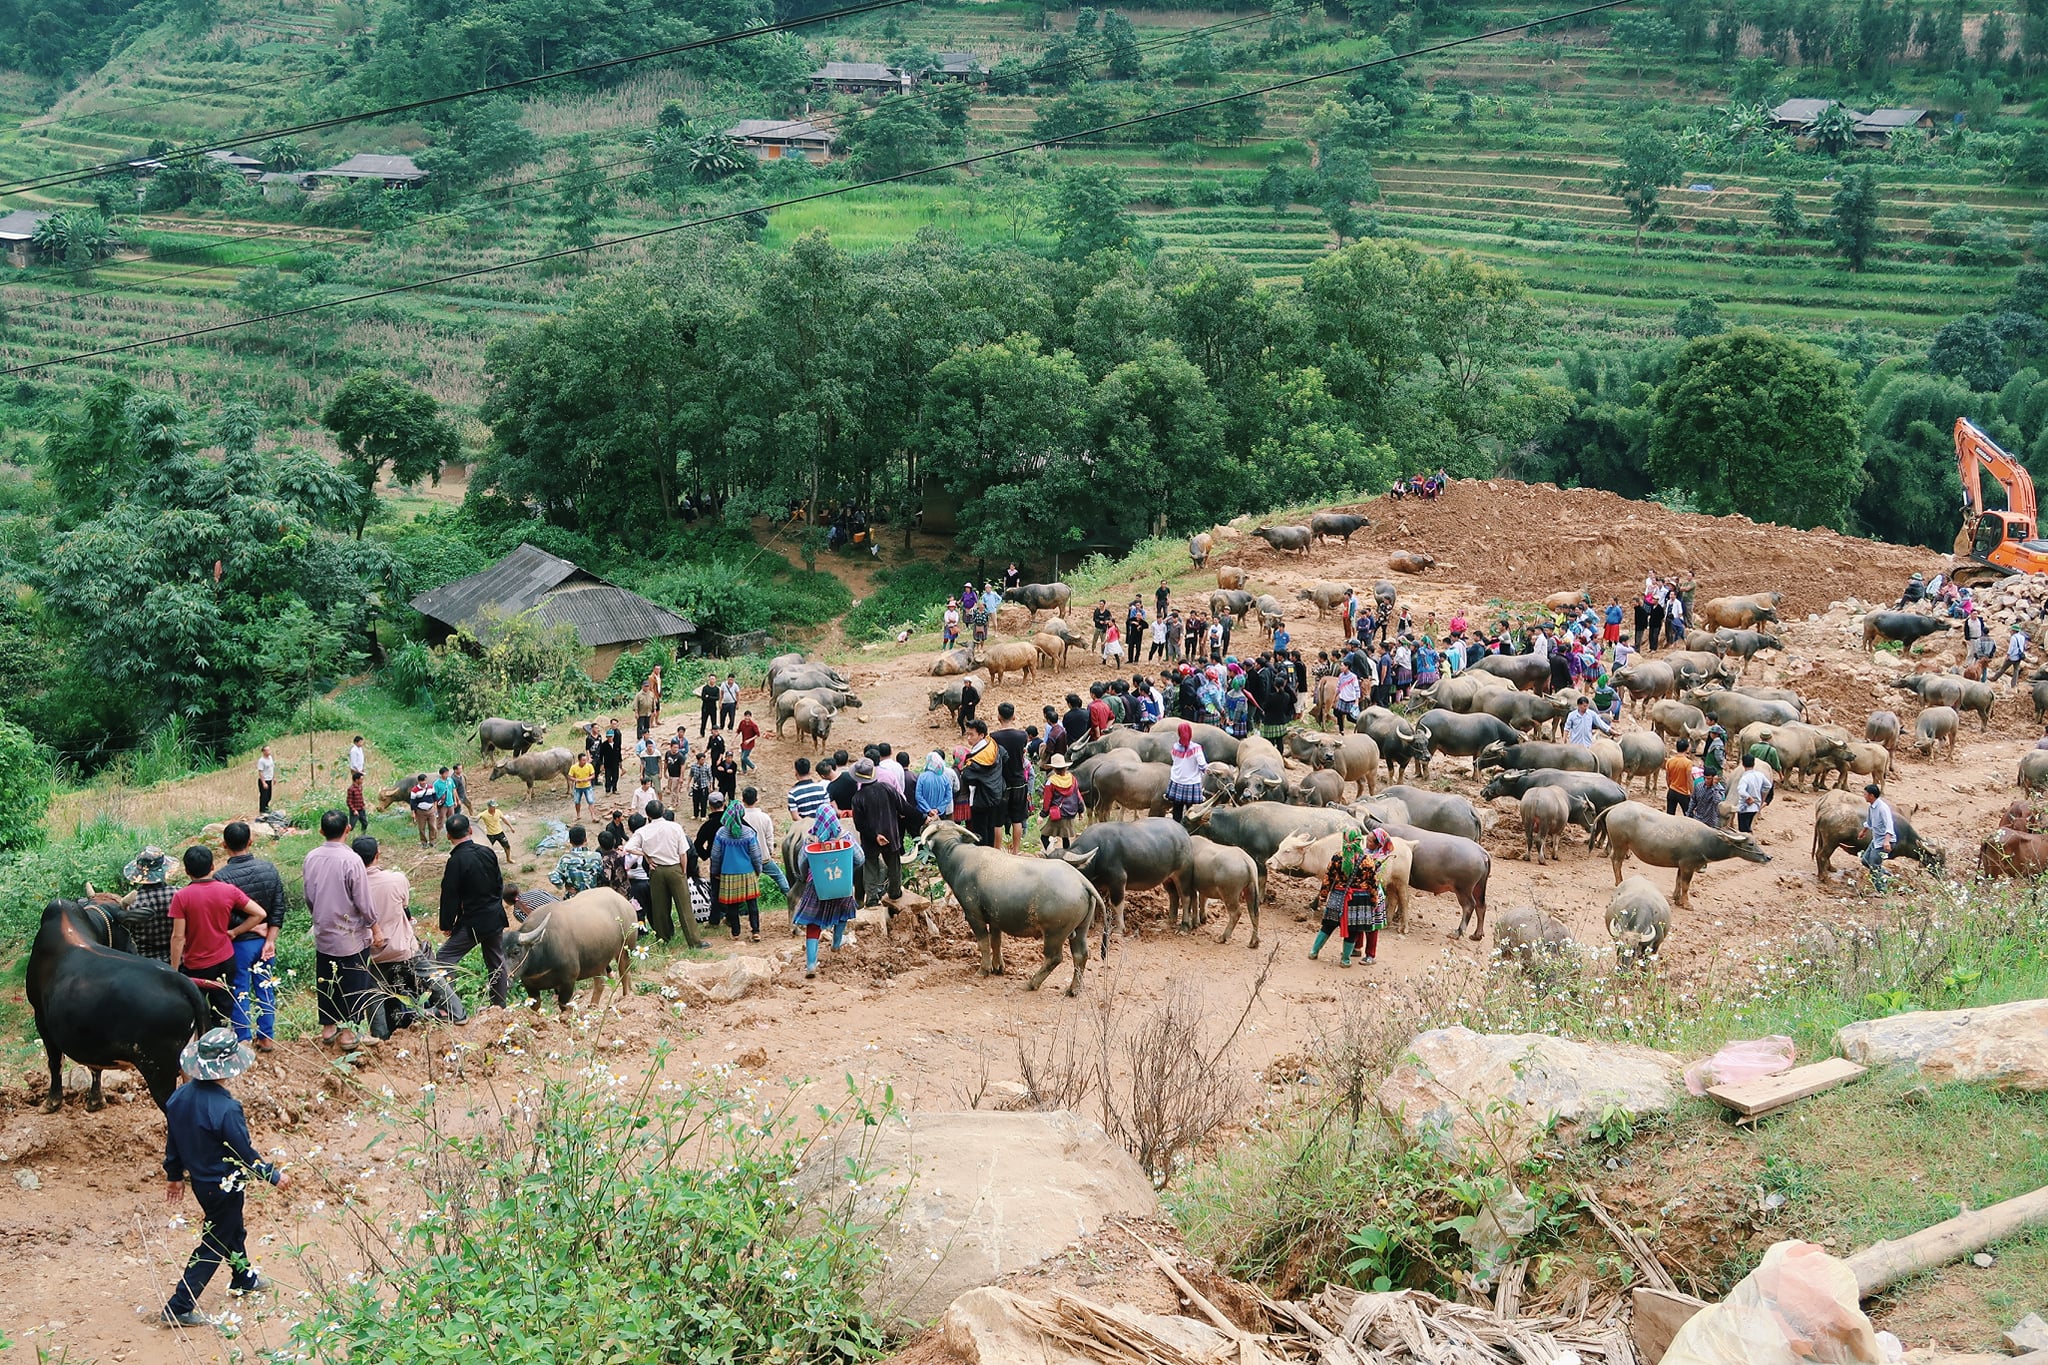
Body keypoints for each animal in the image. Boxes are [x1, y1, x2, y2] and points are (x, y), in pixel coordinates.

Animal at [501, 892, 630, 1010]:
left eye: (516, 951)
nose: (505, 982)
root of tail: (621, 898)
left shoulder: (568, 980)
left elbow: (563, 1005)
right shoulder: (529, 985)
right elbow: (535, 1006)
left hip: (626, 948)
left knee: (624, 972)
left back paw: (625, 998)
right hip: (597, 959)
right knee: (600, 981)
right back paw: (593, 1006)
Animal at [929, 822, 1105, 994]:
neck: (957, 857)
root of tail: (1081, 881)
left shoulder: (973, 915)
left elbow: (984, 943)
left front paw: (983, 970)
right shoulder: (995, 918)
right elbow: (996, 941)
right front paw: (998, 968)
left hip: (1055, 933)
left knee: (1054, 958)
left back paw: (1032, 983)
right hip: (1080, 929)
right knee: (1081, 955)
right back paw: (1073, 990)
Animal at [1589, 806, 1769, 912]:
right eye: (1751, 844)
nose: (1768, 857)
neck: (1707, 841)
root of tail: (1618, 807)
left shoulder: (1681, 865)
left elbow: (1678, 880)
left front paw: (1676, 898)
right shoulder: (1689, 865)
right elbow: (1686, 885)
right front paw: (1686, 904)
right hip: (1620, 844)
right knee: (1616, 861)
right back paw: (1619, 882)